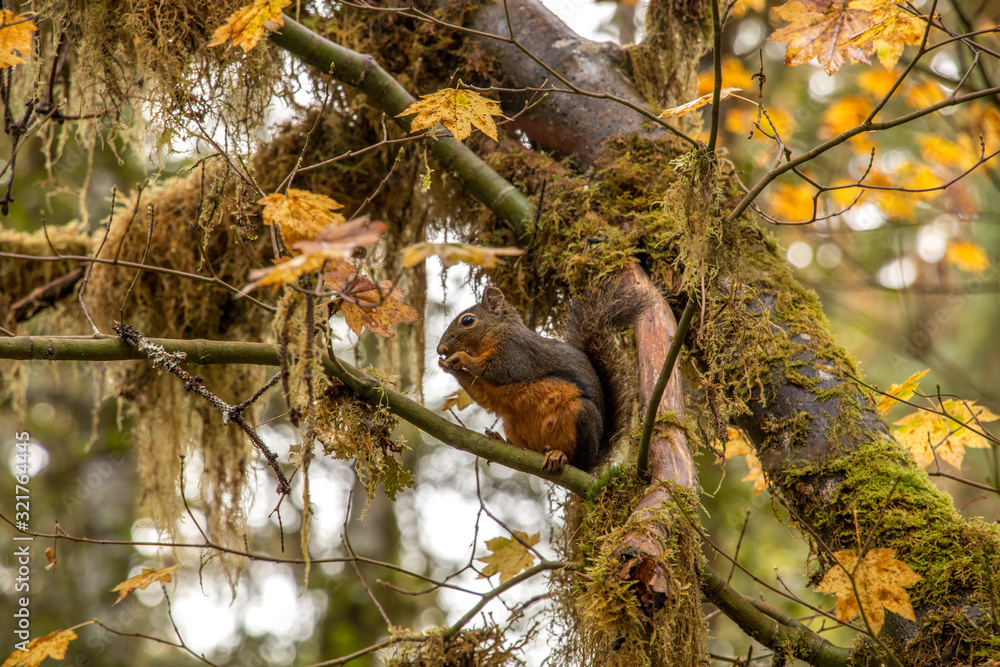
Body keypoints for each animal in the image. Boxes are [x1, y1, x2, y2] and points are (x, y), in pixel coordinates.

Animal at [436, 279, 647, 473]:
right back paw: (504, 440)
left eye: (467, 321)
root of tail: (594, 460)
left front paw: (460, 357)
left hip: (582, 416)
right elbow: (482, 395)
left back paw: (559, 455)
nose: (441, 349)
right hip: (512, 424)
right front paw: (447, 366)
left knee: (577, 461)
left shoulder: (515, 352)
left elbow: (498, 370)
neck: (496, 331)